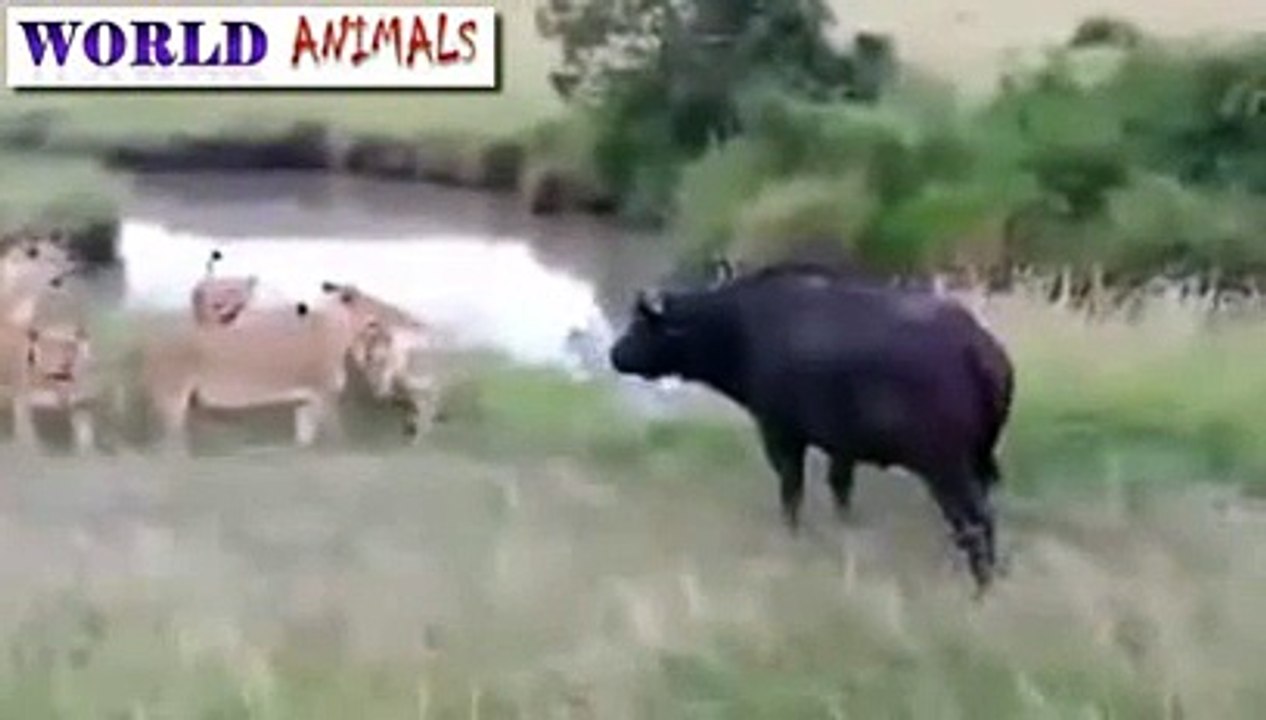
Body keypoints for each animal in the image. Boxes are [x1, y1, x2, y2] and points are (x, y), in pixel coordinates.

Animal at [609, 262, 1015, 592]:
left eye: (642, 326)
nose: (614, 354)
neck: (738, 329)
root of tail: (980, 349)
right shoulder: (843, 447)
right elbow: (840, 491)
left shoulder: (780, 433)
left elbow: (792, 490)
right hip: (978, 460)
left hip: (946, 467)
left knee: (978, 522)